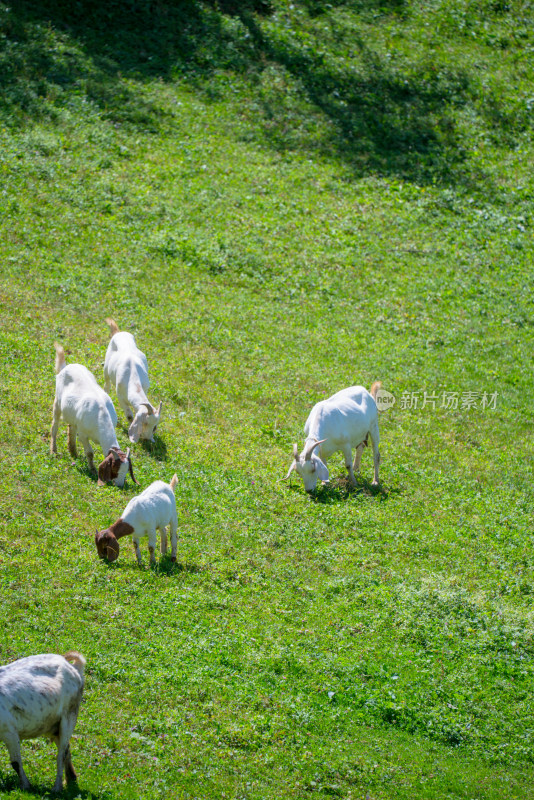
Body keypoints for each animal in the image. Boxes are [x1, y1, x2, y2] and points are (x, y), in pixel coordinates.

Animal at [0, 652, 85, 792]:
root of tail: (73, 667)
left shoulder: (9, 732)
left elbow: (16, 763)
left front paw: (26, 786)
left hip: (69, 716)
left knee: (61, 754)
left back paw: (57, 787)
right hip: (54, 727)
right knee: (66, 748)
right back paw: (71, 778)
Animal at [50, 344, 137, 488]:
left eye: (126, 470)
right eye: (114, 469)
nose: (119, 485)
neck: (100, 416)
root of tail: (66, 367)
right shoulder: (83, 434)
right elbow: (90, 453)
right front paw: (92, 470)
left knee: (71, 427)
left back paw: (73, 452)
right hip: (57, 401)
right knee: (55, 426)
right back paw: (53, 450)